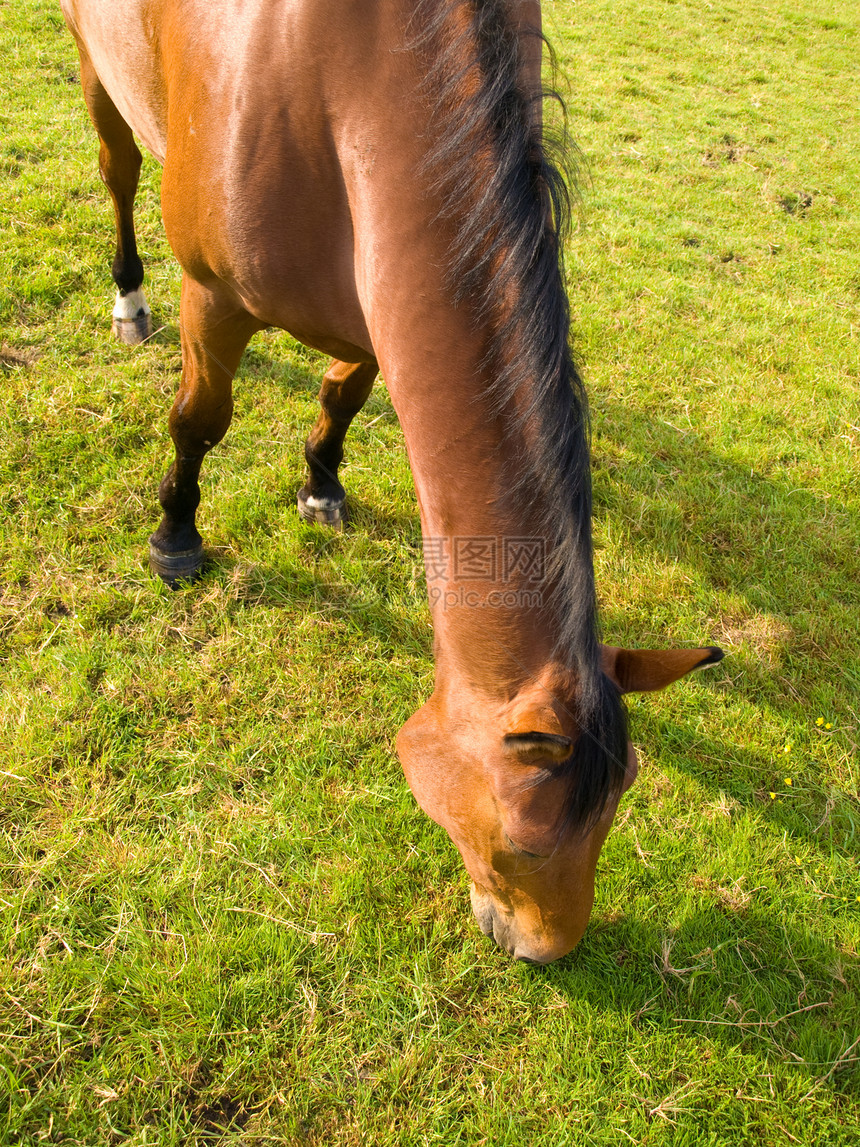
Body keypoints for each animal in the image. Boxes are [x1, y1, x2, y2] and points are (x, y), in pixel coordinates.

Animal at [59, 0, 720, 968]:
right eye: (524, 841)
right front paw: (175, 533)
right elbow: (199, 421)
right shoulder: (214, 298)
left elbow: (344, 392)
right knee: (117, 169)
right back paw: (127, 297)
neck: (353, 84)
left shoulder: (376, 302)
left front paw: (321, 483)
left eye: (616, 808)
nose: (546, 952)